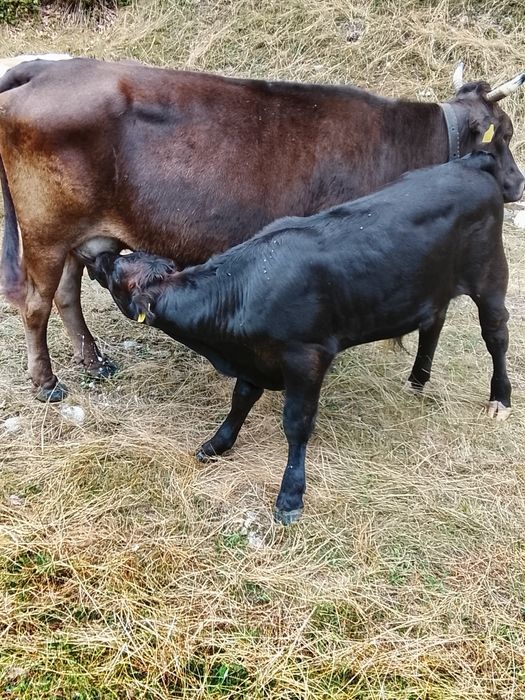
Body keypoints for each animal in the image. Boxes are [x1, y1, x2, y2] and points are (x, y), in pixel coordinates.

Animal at [0, 57, 523, 401]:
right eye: (506, 133)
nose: (518, 182)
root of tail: (46, 69)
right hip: (46, 232)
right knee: (36, 305)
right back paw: (47, 384)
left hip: (79, 235)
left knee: (66, 296)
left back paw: (94, 361)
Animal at [80, 152, 511, 524]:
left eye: (116, 271)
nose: (96, 256)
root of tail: (471, 162)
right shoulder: (254, 356)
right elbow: (240, 400)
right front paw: (217, 444)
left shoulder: (306, 356)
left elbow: (296, 423)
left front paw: (290, 496)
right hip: (432, 287)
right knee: (433, 322)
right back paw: (417, 380)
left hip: (490, 277)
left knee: (496, 334)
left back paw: (500, 399)